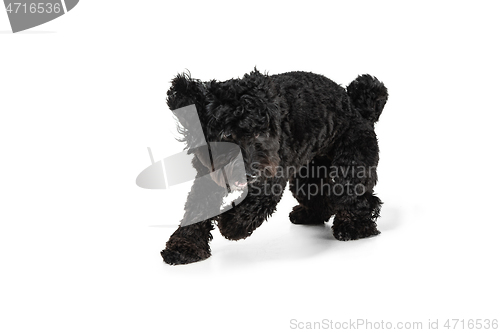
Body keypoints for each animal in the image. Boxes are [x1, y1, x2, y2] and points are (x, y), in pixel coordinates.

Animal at [162, 68, 388, 264]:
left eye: (258, 133)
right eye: (226, 134)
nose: (250, 173)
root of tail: (359, 110)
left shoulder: (270, 179)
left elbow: (250, 208)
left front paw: (230, 226)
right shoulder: (208, 177)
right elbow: (197, 208)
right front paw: (184, 247)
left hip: (350, 168)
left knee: (361, 200)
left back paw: (355, 228)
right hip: (307, 178)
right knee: (322, 200)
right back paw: (308, 215)